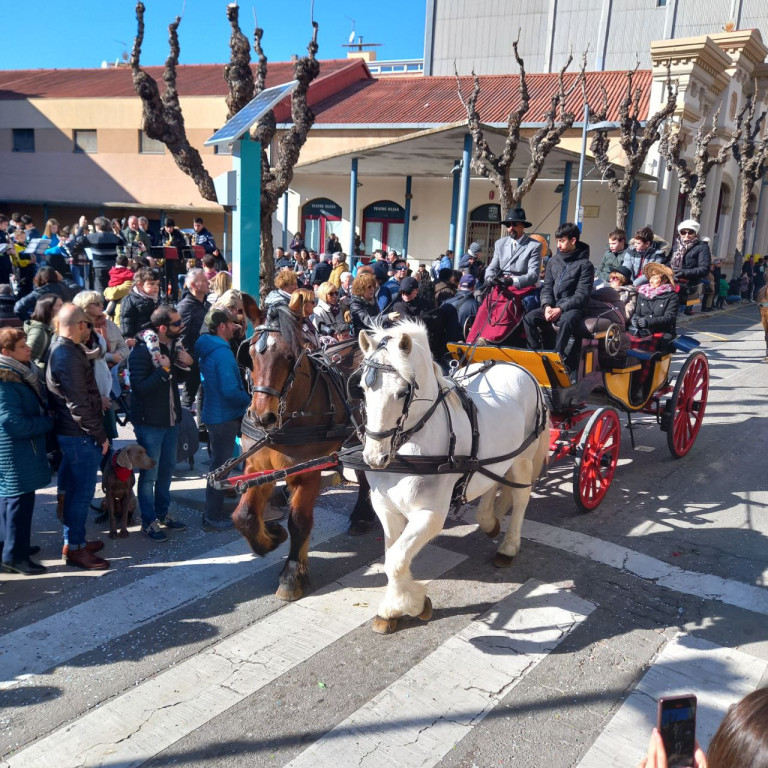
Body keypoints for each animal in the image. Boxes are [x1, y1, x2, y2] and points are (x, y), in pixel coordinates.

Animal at [236, 296, 376, 604]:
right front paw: (271, 536)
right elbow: (244, 517)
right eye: (249, 355)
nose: (262, 417)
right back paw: (362, 516)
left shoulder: (308, 472)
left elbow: (299, 521)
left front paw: (292, 576)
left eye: (291, 356)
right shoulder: (257, 467)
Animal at [356, 320, 548, 632]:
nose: (374, 458)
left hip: (523, 455)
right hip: (495, 457)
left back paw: (508, 547)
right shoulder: (386, 509)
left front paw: (413, 605)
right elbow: (392, 556)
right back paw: (489, 520)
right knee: (492, 482)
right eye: (362, 389)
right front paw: (394, 608)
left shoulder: (430, 515)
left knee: (520, 496)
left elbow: (396, 559)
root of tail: (515, 365)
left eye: (402, 392)